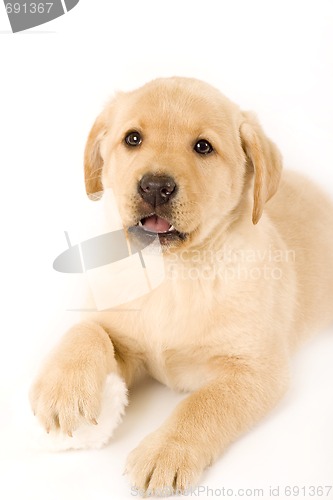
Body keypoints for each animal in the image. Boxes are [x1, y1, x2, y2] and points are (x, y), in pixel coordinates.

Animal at [29, 78, 332, 496]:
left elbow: (202, 405)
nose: (155, 186)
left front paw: (166, 451)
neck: (171, 274)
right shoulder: (123, 335)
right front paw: (62, 390)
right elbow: (87, 329)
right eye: (133, 138)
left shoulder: (255, 370)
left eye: (203, 147)